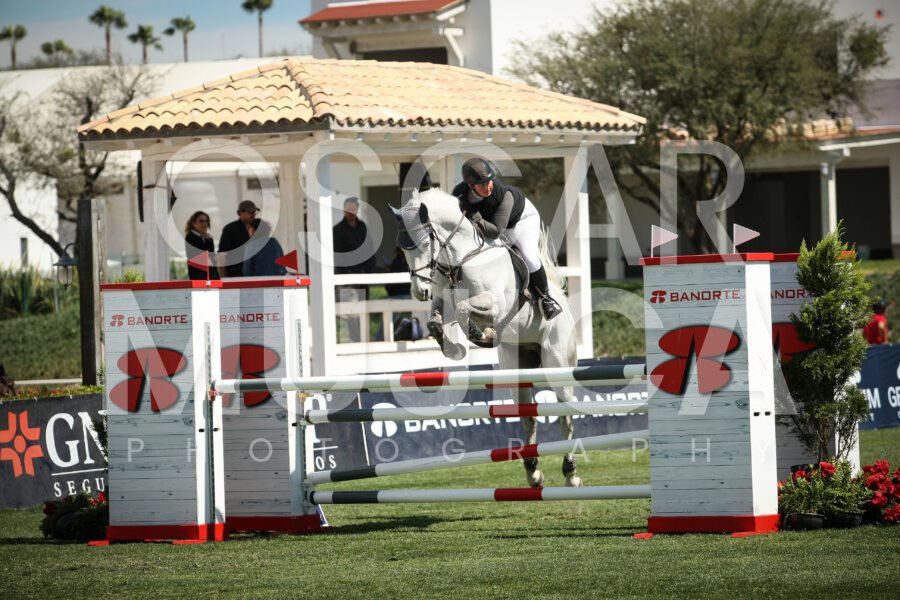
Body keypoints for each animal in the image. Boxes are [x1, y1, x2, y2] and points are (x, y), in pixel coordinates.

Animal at [391, 188, 582, 488]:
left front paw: (483, 335)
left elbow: (464, 309)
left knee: (566, 416)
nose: (420, 291)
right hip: (517, 368)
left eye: (423, 243)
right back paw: (533, 472)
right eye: (402, 249)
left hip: (558, 362)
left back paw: (570, 473)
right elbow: (435, 320)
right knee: (528, 416)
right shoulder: (444, 302)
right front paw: (455, 350)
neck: (461, 257)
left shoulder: (496, 305)